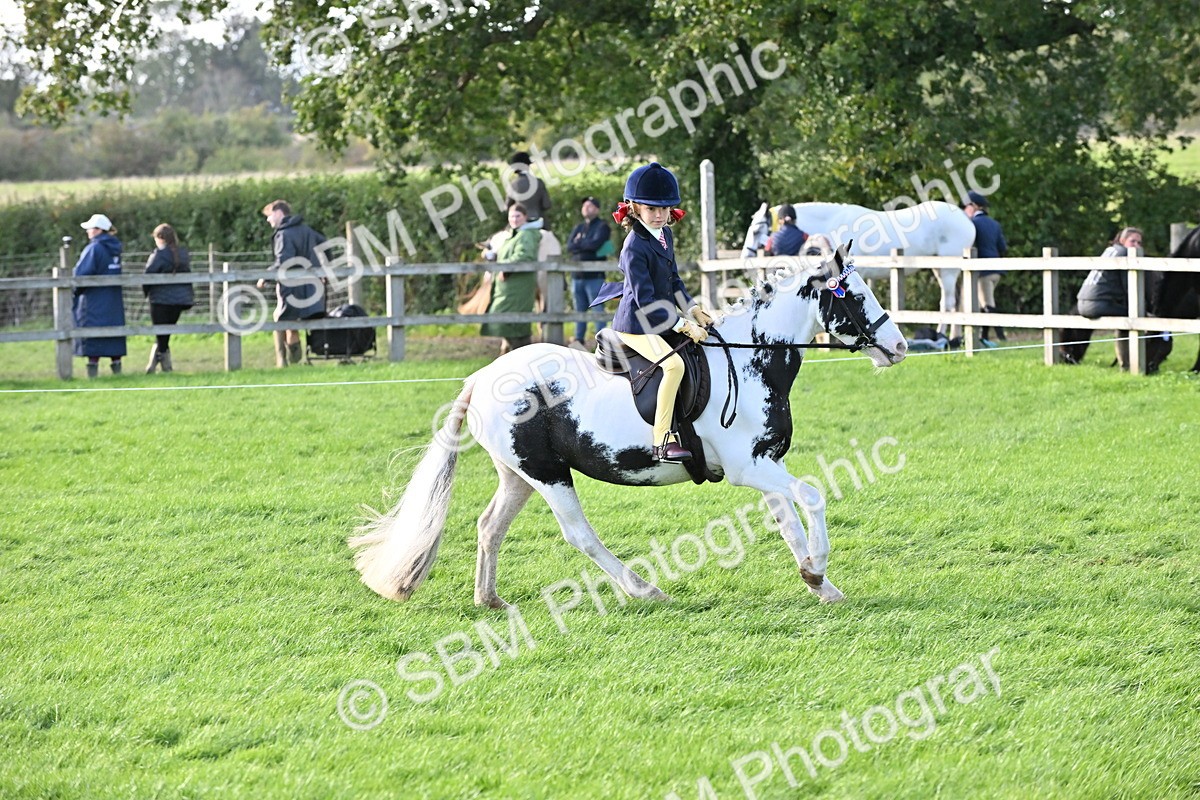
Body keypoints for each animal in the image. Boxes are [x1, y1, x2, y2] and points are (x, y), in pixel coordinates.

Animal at [349, 246, 908, 608]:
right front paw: (818, 570)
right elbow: (812, 496)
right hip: (549, 474)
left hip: (519, 473)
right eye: (853, 296)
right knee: (578, 534)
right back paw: (645, 589)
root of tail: (481, 377)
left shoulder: (766, 463)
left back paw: (490, 601)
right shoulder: (749, 467)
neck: (751, 361)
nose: (899, 347)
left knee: (490, 526)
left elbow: (789, 521)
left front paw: (819, 583)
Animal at [742, 201, 976, 336]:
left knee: (948, 303)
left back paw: (943, 337)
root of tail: (966, 220)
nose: (746, 257)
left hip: (948, 270)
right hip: (941, 268)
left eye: (755, 231)